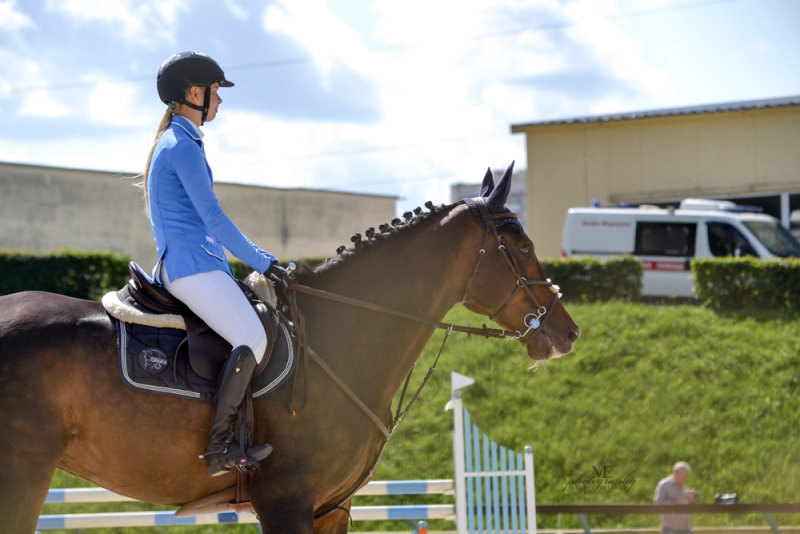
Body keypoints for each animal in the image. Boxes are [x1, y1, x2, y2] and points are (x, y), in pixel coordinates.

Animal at [0, 162, 580, 532]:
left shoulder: (330, 509)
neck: (340, 338)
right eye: (520, 244)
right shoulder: (287, 502)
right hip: (21, 481)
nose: (567, 332)